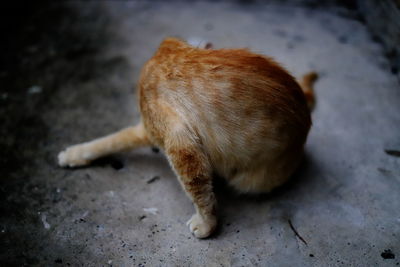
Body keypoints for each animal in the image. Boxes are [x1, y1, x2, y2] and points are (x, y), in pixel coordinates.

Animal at [57, 37, 318, 239]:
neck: (166, 54)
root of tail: (305, 116)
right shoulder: (151, 129)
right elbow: (111, 139)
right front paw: (75, 154)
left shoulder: (175, 138)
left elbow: (197, 188)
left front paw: (206, 224)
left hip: (252, 180)